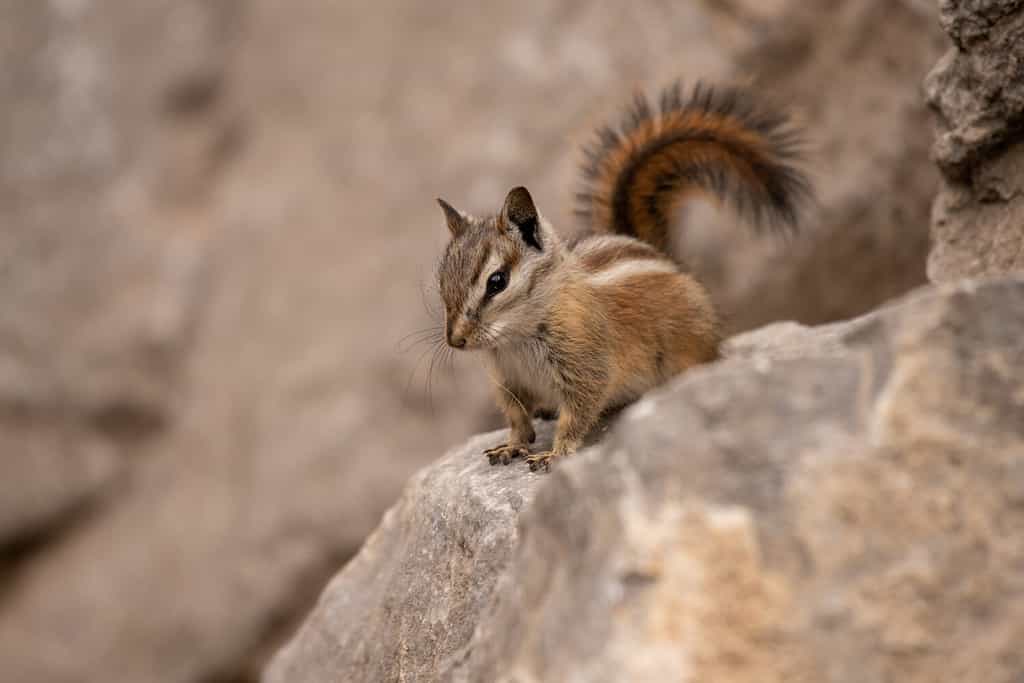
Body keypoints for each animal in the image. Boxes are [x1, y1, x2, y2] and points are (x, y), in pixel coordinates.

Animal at [434, 81, 811, 472]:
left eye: (497, 281)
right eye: (440, 280)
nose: (455, 341)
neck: (515, 338)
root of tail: (664, 255)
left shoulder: (586, 364)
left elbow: (578, 413)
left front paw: (556, 453)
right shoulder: (507, 380)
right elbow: (517, 418)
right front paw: (511, 445)